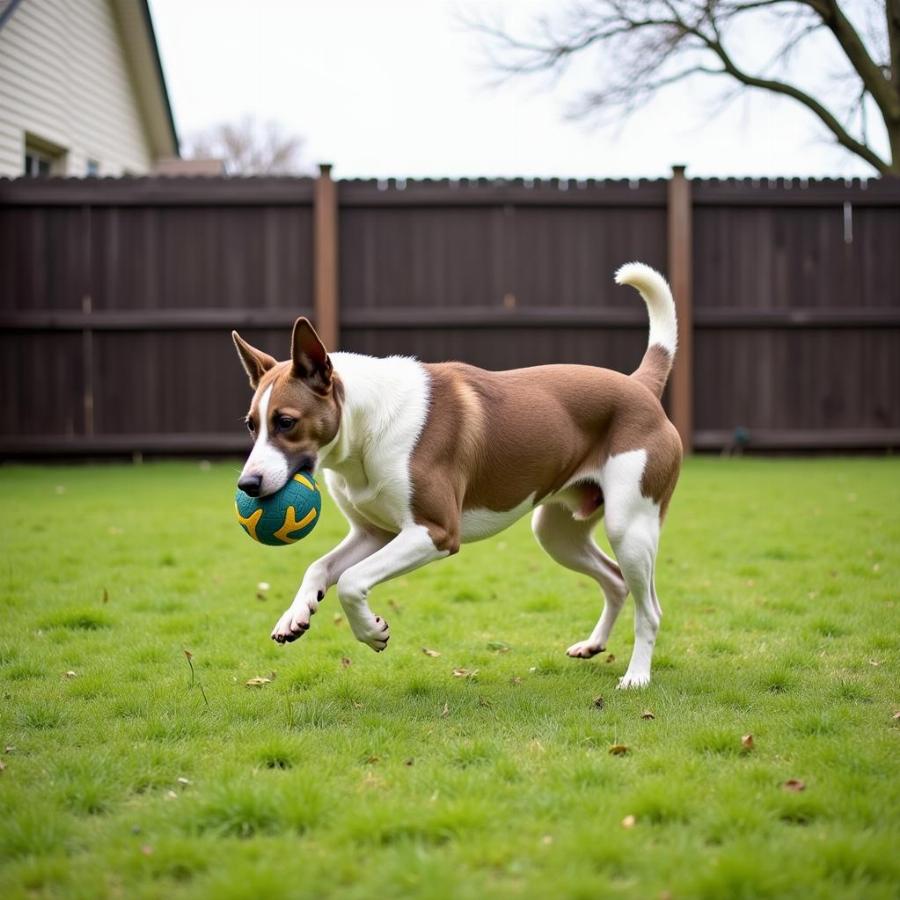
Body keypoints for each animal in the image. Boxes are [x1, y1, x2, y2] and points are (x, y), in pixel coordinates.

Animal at [232, 260, 684, 688]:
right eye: (252, 425)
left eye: (286, 422)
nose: (247, 485)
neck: (367, 425)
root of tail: (639, 386)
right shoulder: (374, 534)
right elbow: (319, 567)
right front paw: (295, 614)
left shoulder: (435, 531)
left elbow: (350, 580)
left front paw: (371, 631)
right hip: (558, 534)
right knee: (616, 581)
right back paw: (594, 644)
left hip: (629, 527)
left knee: (651, 609)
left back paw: (637, 676)